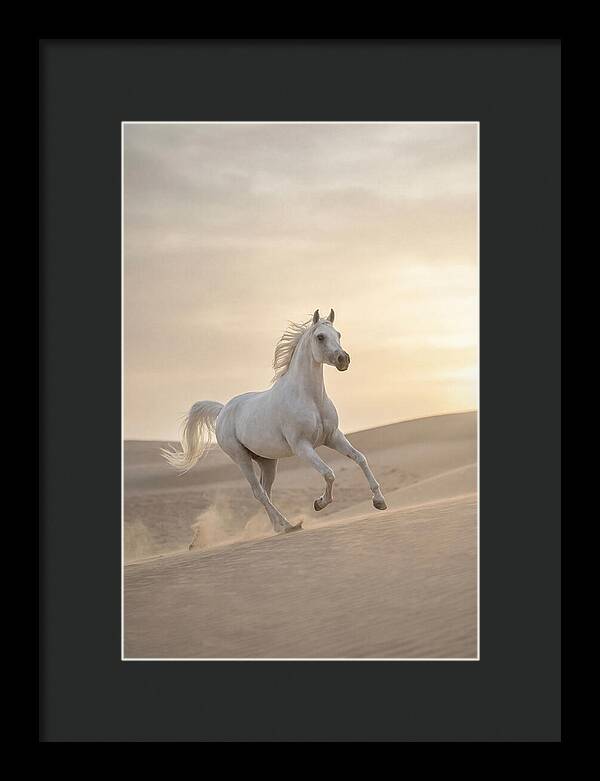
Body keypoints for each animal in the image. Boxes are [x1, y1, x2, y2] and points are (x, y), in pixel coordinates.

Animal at [162, 309, 387, 536]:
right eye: (320, 337)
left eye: (338, 334)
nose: (343, 359)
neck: (310, 398)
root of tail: (223, 410)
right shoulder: (302, 447)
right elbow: (328, 473)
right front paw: (320, 503)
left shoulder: (333, 437)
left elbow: (360, 458)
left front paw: (379, 501)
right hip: (241, 458)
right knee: (258, 492)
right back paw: (288, 525)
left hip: (267, 461)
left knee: (266, 491)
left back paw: (279, 526)